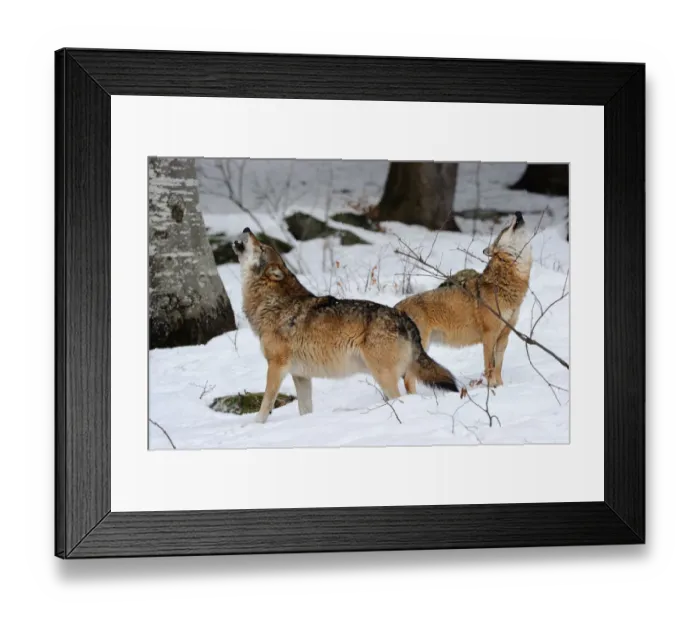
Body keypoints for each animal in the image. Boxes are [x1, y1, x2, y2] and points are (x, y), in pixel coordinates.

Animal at [232, 228, 460, 423]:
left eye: (261, 247)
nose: (246, 228)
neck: (272, 303)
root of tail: (403, 317)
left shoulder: (276, 366)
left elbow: (265, 404)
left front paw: (255, 425)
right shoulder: (301, 375)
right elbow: (305, 410)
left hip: (384, 376)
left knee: (399, 398)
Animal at [395, 211, 533, 390]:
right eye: (505, 227)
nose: (518, 213)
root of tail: (396, 307)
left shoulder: (504, 336)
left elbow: (498, 367)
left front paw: (501, 387)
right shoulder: (489, 335)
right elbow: (489, 367)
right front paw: (491, 388)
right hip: (420, 348)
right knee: (408, 378)